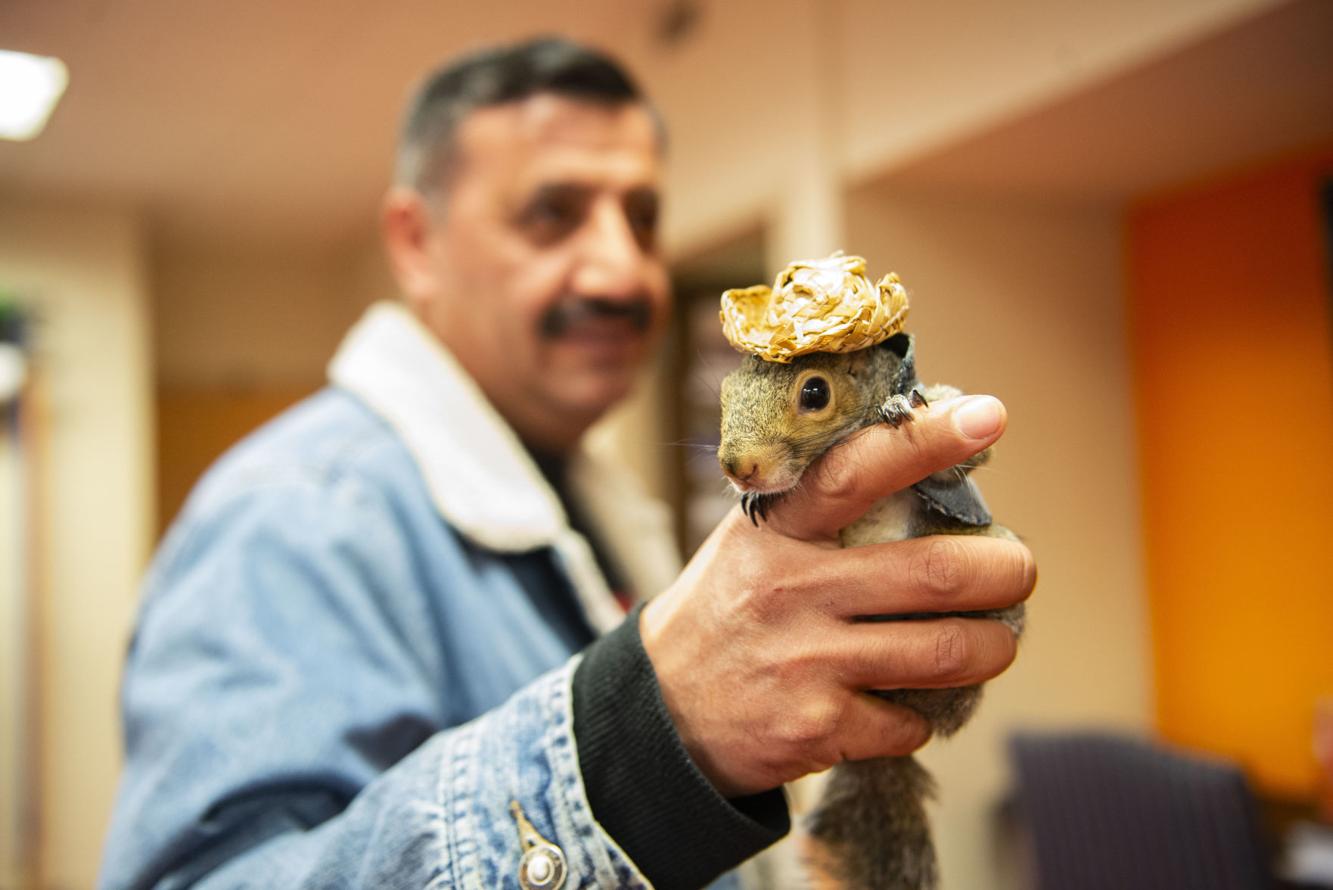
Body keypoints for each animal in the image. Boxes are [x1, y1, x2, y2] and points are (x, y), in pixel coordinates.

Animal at [718, 331, 1025, 890]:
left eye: (815, 393)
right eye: (724, 395)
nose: (738, 469)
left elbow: (968, 456)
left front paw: (896, 406)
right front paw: (754, 498)